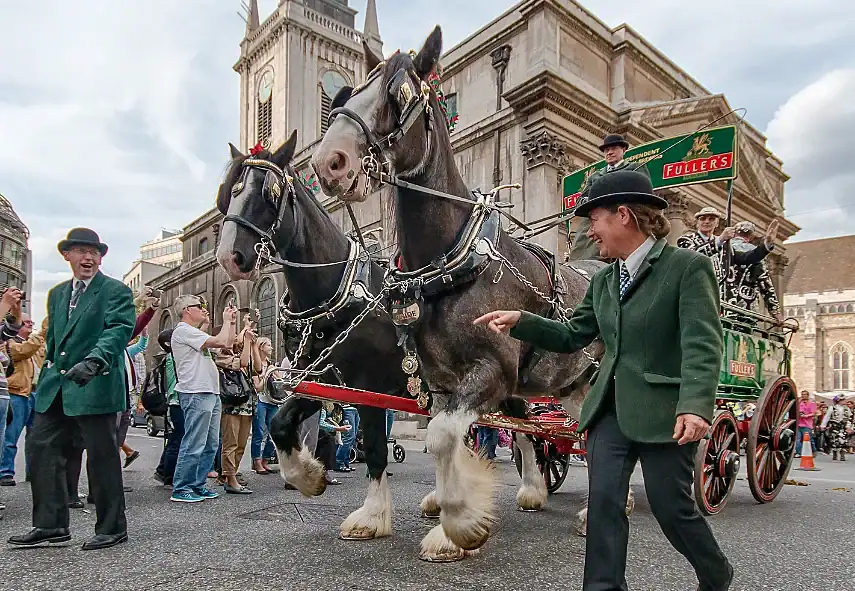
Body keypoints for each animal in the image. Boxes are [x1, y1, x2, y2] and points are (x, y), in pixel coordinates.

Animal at [211, 131, 552, 544]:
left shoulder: (370, 387)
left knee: (524, 431)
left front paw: (372, 516)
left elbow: (374, 449)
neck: (334, 297)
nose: (229, 257)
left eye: (269, 193)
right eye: (228, 195)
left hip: (499, 378)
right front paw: (309, 477)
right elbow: (279, 423)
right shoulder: (324, 381)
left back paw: (532, 490)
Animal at [310, 26, 632, 564]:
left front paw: (460, 525)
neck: (453, 265)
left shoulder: (494, 371)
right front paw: (447, 516)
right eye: (344, 98)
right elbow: (446, 438)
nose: (328, 162)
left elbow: (443, 438)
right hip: (574, 384)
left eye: (400, 95)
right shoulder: (440, 382)